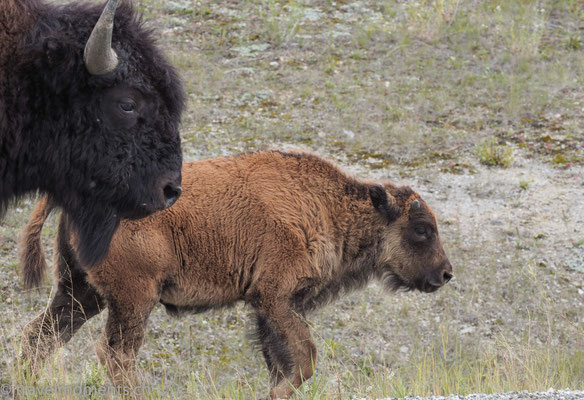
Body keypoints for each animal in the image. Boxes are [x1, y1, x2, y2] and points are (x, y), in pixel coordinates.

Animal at [20, 151, 454, 400]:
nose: (446, 273)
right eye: (421, 229)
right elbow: (304, 357)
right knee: (115, 353)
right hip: (133, 300)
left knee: (41, 335)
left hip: (80, 293)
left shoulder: (267, 307)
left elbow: (280, 360)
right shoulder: (276, 298)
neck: (325, 206)